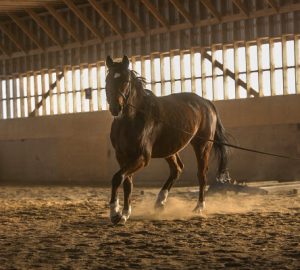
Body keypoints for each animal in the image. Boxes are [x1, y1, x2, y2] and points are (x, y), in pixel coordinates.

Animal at [105, 56, 227, 225]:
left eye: (125, 80)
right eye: (107, 80)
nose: (115, 108)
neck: (132, 119)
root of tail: (206, 102)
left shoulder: (142, 157)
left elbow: (117, 177)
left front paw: (115, 213)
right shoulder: (122, 156)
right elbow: (127, 182)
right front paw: (124, 214)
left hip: (202, 146)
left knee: (201, 174)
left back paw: (198, 208)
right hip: (170, 149)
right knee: (177, 169)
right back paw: (160, 202)